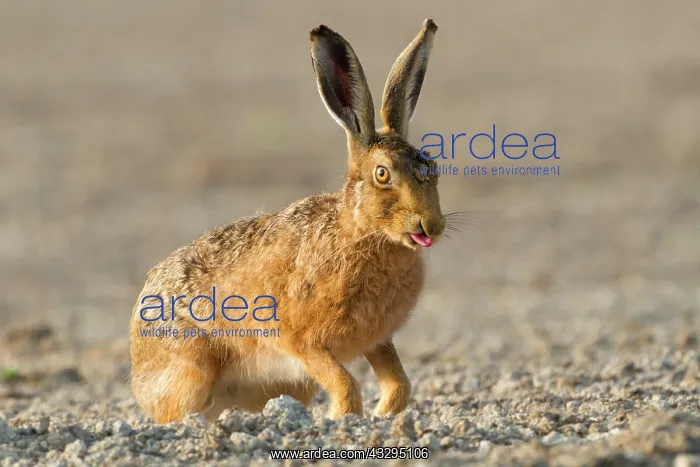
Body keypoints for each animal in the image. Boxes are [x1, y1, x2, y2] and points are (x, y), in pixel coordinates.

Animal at [129, 18, 444, 424]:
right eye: (382, 174)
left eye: (433, 168)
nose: (430, 225)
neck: (359, 232)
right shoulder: (304, 342)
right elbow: (345, 385)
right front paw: (340, 421)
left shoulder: (377, 341)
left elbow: (398, 385)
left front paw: (380, 417)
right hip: (192, 369)